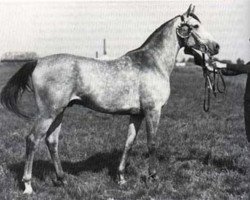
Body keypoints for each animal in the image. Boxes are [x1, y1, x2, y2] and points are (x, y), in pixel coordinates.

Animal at [0, 4, 219, 194]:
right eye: (196, 26)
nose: (216, 47)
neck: (153, 63)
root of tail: (37, 61)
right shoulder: (153, 111)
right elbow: (152, 143)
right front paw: (153, 176)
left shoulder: (137, 115)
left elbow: (129, 143)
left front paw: (121, 178)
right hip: (48, 112)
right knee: (32, 140)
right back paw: (28, 186)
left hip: (59, 111)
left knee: (51, 141)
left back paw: (62, 179)